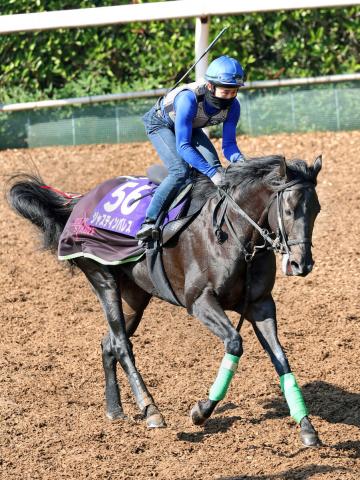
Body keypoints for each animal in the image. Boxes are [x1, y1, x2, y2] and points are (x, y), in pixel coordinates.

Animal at [7, 156, 324, 448]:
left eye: (317, 210)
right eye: (289, 209)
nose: (302, 264)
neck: (233, 236)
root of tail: (80, 202)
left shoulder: (260, 304)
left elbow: (281, 358)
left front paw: (307, 427)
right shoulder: (199, 301)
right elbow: (234, 343)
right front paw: (201, 411)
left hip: (135, 294)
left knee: (108, 343)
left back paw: (115, 409)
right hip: (102, 277)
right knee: (121, 344)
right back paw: (151, 410)